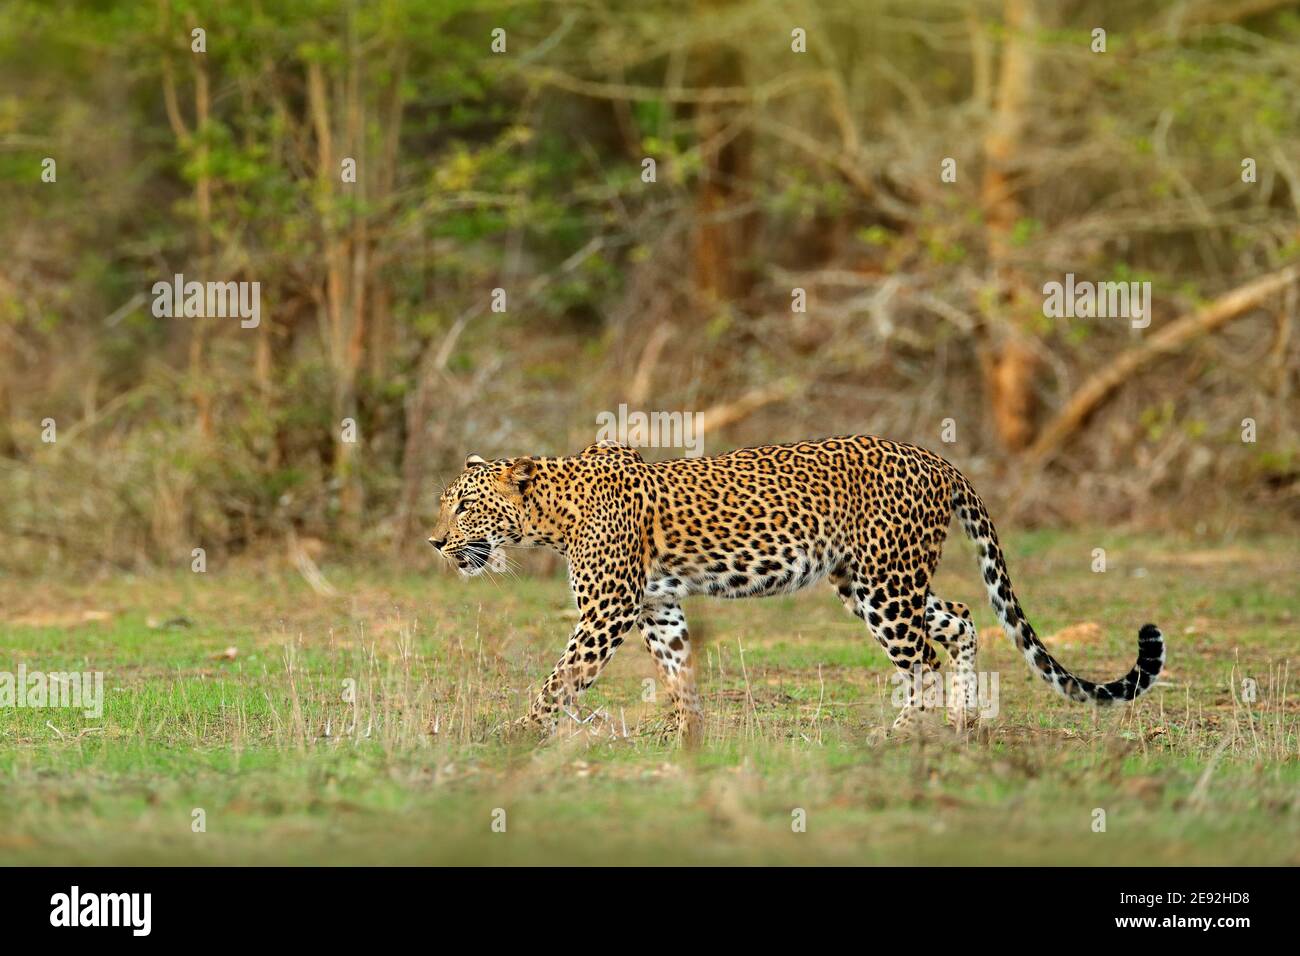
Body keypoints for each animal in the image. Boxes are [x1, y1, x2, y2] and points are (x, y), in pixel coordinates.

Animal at [428, 436, 1165, 742]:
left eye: (463, 506)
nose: (434, 542)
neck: (549, 517)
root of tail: (938, 458)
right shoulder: (657, 607)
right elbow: (676, 671)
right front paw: (685, 732)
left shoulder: (606, 611)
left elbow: (557, 681)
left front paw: (516, 733)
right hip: (872, 579)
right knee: (957, 618)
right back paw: (963, 722)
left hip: (887, 581)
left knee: (922, 655)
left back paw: (906, 732)